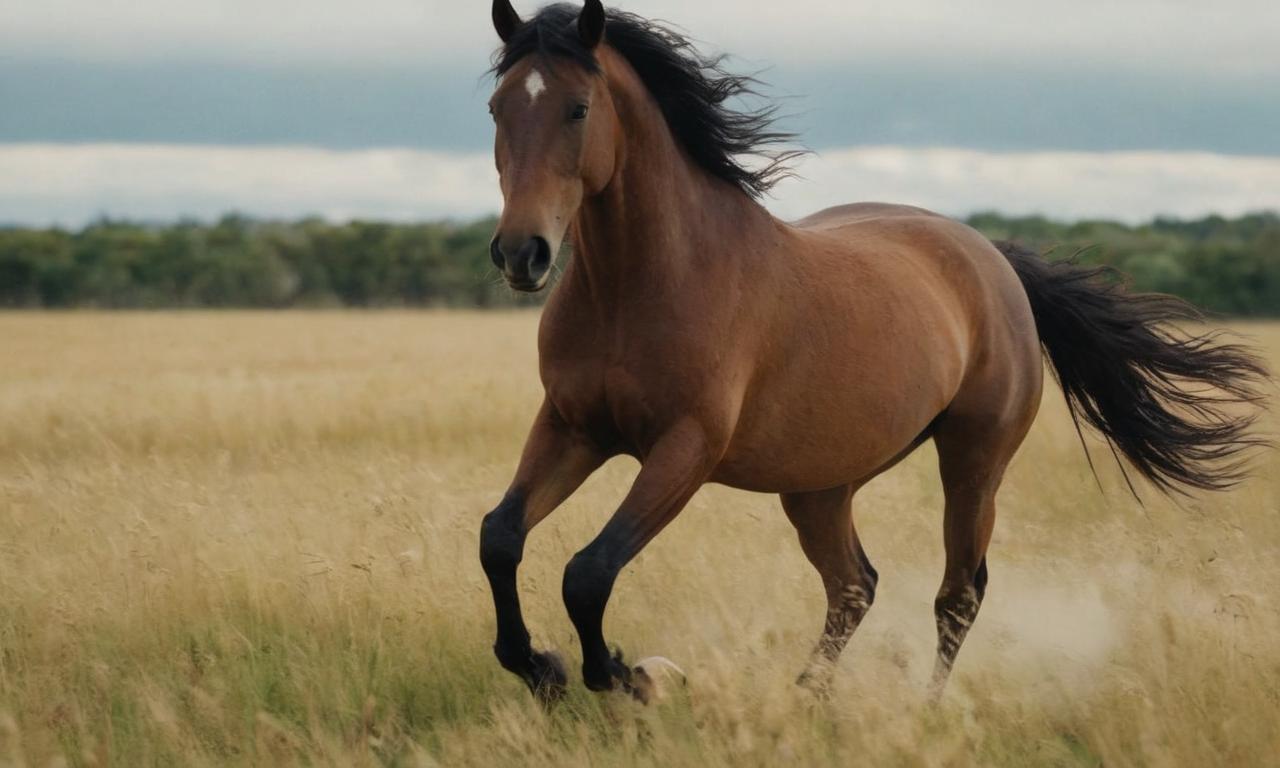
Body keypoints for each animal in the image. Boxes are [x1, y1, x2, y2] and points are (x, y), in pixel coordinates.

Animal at [478, 0, 1269, 706]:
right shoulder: (572, 428)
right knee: (855, 585)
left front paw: (624, 675)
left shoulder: (685, 449)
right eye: (495, 110)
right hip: (820, 485)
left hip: (973, 463)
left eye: (578, 108)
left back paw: (921, 709)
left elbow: (589, 571)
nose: (522, 254)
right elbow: (501, 538)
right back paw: (807, 698)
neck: (645, 283)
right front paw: (542, 668)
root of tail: (994, 260)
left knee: (957, 593)